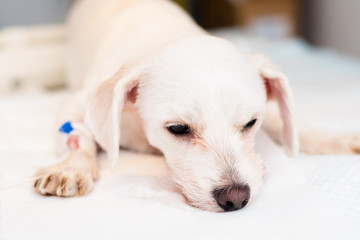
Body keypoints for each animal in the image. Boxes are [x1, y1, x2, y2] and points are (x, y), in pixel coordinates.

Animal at [33, 0, 358, 211]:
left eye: (250, 123)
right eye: (177, 128)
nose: (235, 197)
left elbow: (291, 124)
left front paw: (335, 139)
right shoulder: (76, 103)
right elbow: (78, 135)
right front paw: (72, 167)